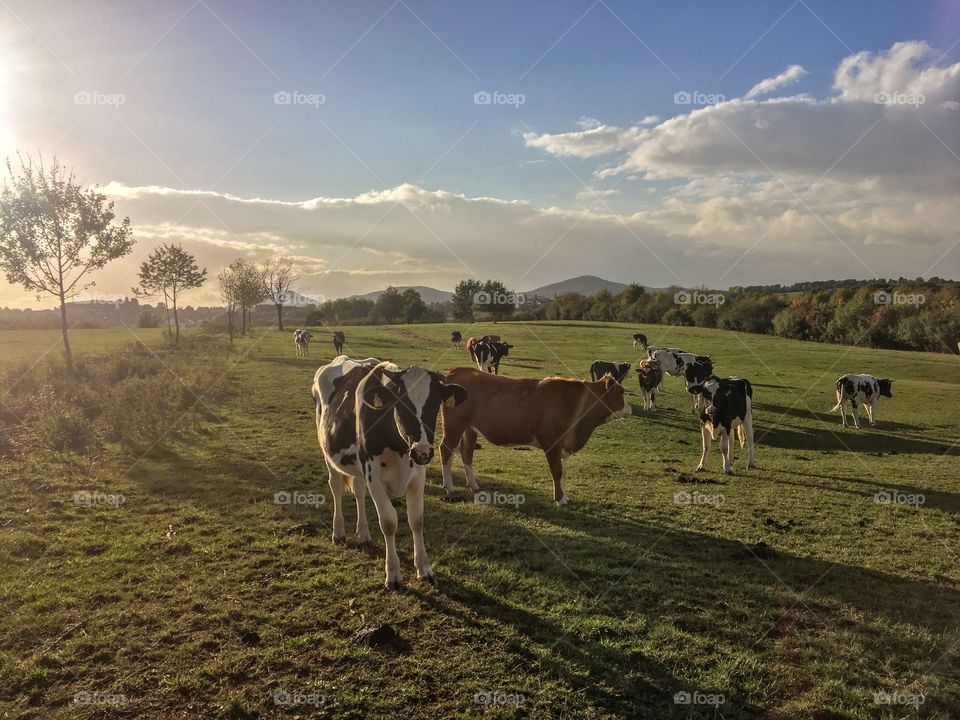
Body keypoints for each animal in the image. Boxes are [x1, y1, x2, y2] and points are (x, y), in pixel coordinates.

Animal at [312, 355, 467, 589]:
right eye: (400, 403)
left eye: (434, 404)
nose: (422, 451)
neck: (398, 445)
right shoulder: (374, 476)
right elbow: (388, 521)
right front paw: (393, 574)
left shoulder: (417, 475)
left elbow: (416, 519)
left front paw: (424, 568)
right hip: (328, 452)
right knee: (336, 487)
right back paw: (338, 532)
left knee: (358, 492)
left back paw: (364, 534)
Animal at [439, 369, 631, 505]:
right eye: (621, 391)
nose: (630, 408)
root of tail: (457, 371)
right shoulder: (552, 444)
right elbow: (557, 471)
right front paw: (560, 500)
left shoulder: (563, 445)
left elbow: (564, 473)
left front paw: (565, 496)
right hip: (454, 426)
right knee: (446, 450)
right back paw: (449, 487)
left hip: (470, 428)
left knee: (466, 454)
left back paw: (473, 485)